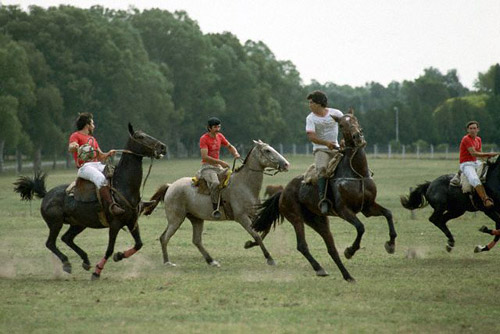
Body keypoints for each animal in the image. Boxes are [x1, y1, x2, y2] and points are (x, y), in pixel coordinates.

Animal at [12, 123, 166, 280]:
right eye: (140, 137)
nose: (162, 147)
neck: (123, 186)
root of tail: (46, 194)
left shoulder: (132, 221)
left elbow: (139, 244)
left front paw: (119, 256)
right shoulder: (115, 224)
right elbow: (109, 249)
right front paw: (97, 272)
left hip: (78, 223)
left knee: (66, 238)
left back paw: (85, 261)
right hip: (55, 223)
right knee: (50, 243)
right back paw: (67, 264)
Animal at [143, 140, 290, 268]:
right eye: (267, 150)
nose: (286, 164)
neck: (245, 184)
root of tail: (170, 186)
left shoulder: (253, 215)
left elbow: (264, 231)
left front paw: (249, 244)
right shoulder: (242, 217)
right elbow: (257, 235)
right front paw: (269, 258)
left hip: (196, 219)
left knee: (196, 240)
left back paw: (211, 261)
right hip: (176, 219)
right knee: (164, 238)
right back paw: (167, 262)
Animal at [252, 109, 396, 282]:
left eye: (356, 120)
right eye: (342, 125)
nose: (358, 137)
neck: (357, 174)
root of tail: (282, 193)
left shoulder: (368, 207)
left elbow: (388, 213)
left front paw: (391, 244)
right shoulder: (344, 210)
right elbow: (361, 227)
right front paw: (350, 251)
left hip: (318, 220)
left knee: (331, 248)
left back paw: (347, 275)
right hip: (296, 218)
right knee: (302, 245)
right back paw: (320, 268)